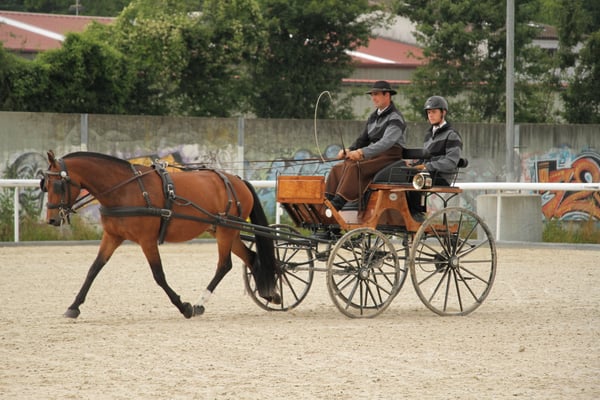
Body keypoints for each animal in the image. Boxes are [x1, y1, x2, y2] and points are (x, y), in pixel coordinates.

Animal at [40, 150, 280, 319]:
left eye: (58, 184)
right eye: (45, 184)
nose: (51, 220)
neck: (125, 189)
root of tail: (237, 180)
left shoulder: (147, 240)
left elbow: (158, 275)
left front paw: (184, 307)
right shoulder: (112, 236)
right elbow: (94, 269)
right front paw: (73, 307)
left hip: (225, 230)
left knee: (224, 265)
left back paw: (200, 303)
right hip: (225, 230)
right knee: (251, 257)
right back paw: (270, 293)